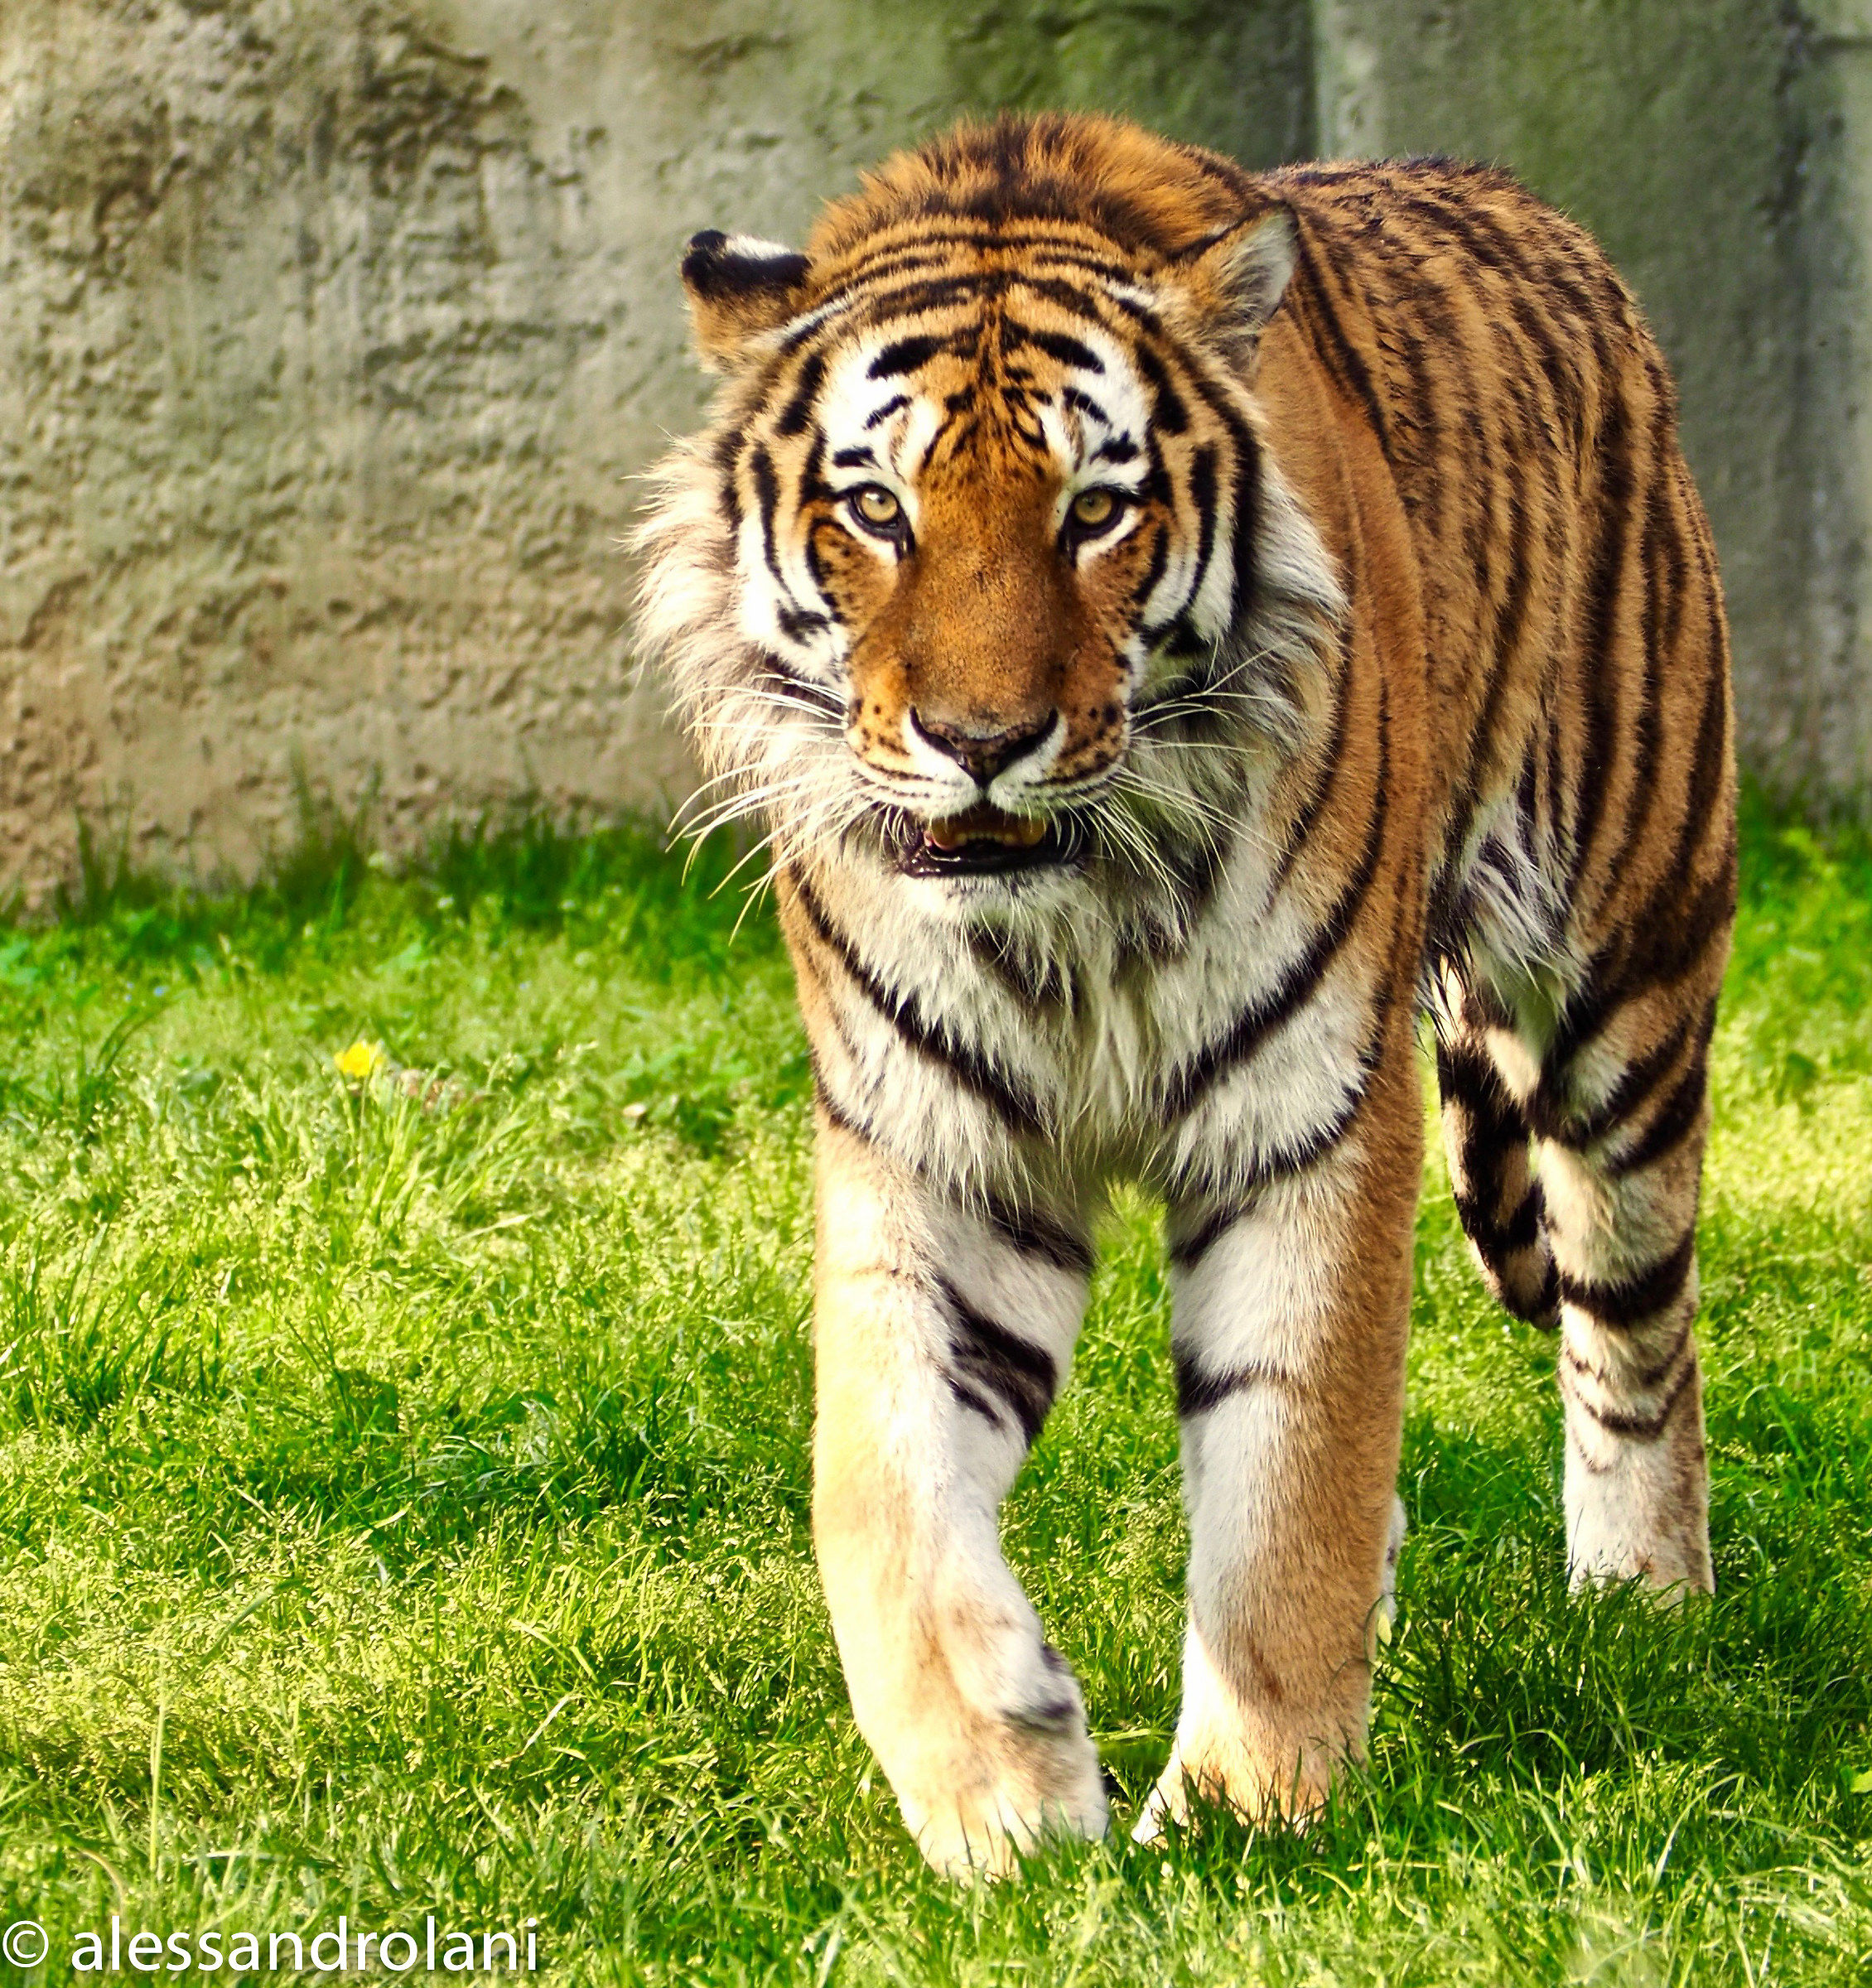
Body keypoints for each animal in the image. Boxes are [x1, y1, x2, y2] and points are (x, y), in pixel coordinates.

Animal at [636, 112, 1736, 1877]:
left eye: (1098, 511)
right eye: (876, 508)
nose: (982, 739)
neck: (1071, 912)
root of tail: (1524, 204)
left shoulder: (1307, 1125)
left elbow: (1289, 1476)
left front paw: (1248, 1817)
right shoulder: (934, 1146)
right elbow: (877, 1482)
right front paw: (1004, 1791)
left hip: (1625, 977)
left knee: (1634, 1330)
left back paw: (1643, 1606)